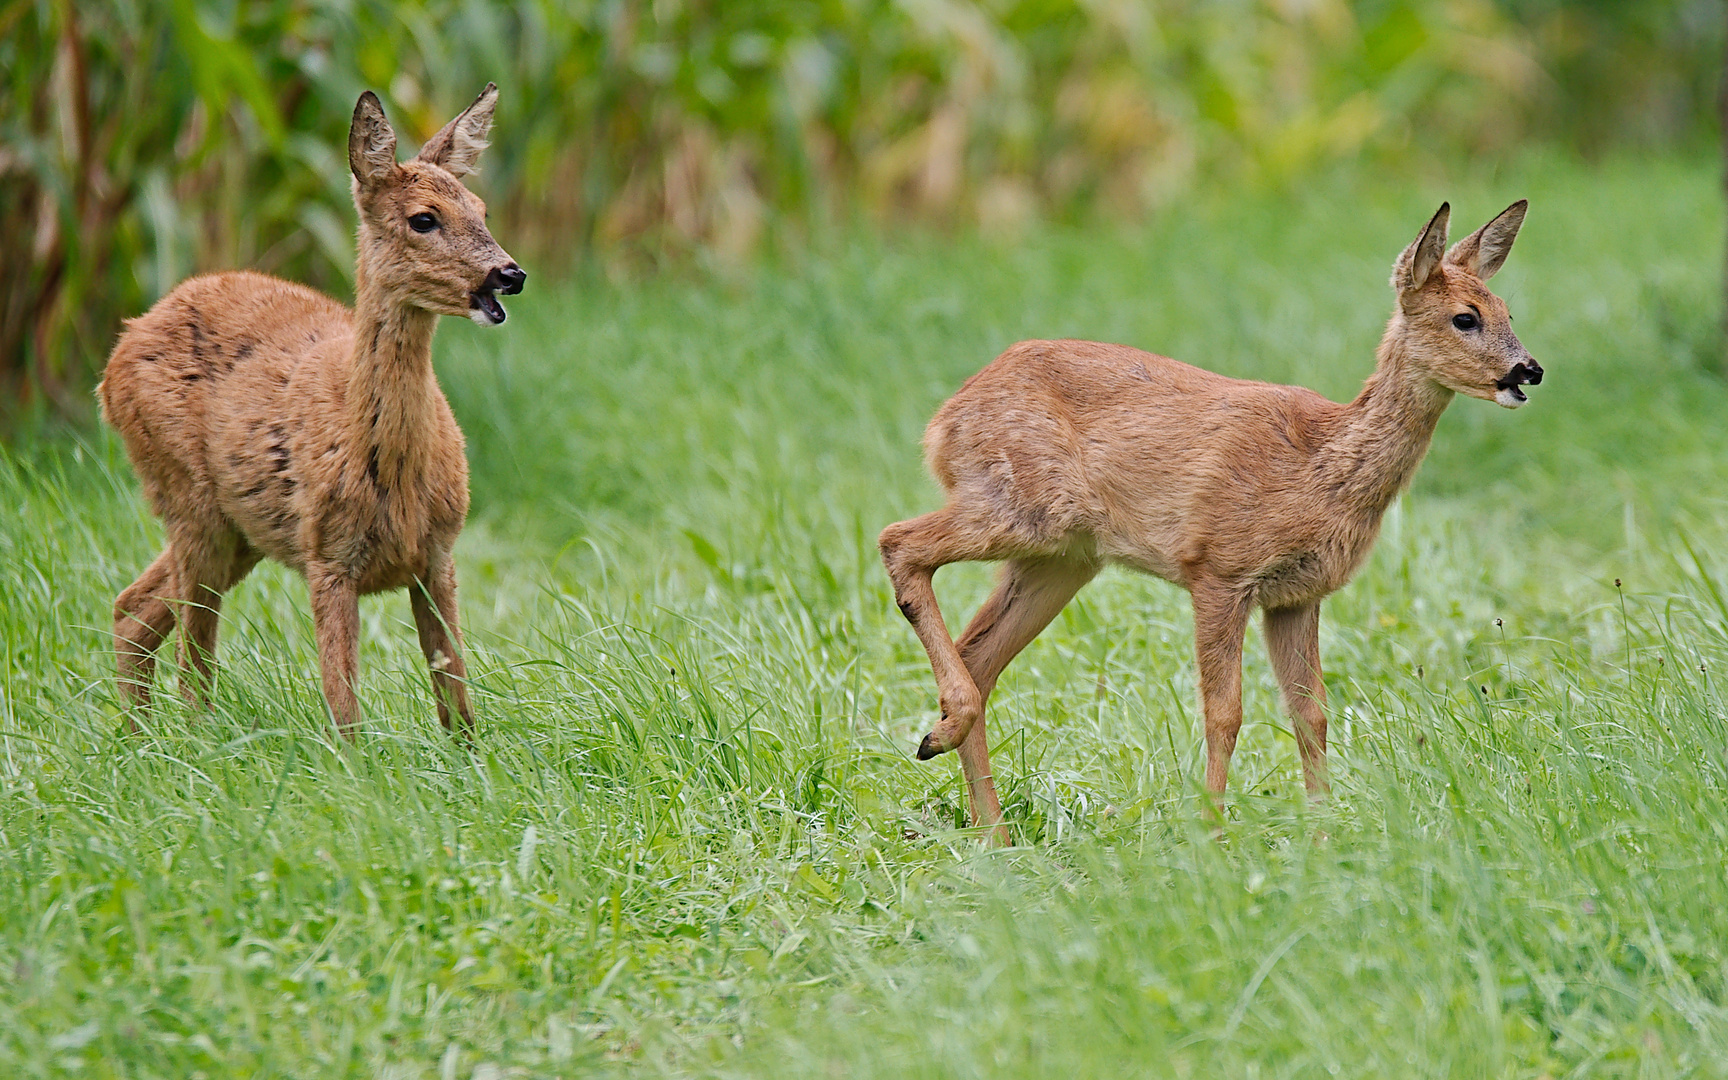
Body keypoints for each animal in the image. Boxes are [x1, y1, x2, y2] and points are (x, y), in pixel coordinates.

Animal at [96, 84, 518, 736]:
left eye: (483, 211)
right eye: (423, 218)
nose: (509, 274)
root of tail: (117, 355)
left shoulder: (438, 553)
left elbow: (458, 700)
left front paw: (473, 756)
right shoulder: (329, 556)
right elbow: (343, 708)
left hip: (239, 529)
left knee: (135, 609)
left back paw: (139, 739)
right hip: (188, 498)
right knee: (191, 660)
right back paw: (186, 740)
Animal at [884, 202, 1548, 843]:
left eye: (1508, 310)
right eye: (1465, 318)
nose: (1529, 371)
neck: (1321, 468)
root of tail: (943, 422)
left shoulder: (1297, 595)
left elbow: (1311, 713)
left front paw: (1323, 835)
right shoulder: (1218, 568)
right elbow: (1225, 712)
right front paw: (1211, 832)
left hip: (1063, 558)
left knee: (979, 653)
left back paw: (989, 827)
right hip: (1016, 504)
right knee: (898, 542)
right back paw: (944, 742)